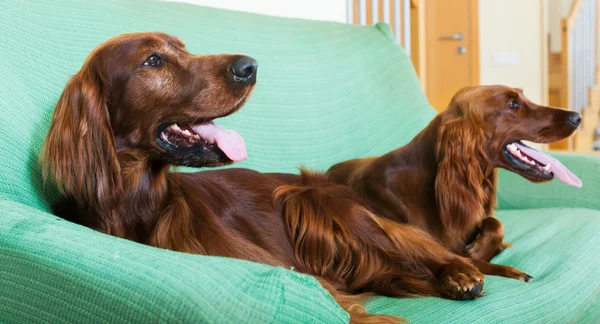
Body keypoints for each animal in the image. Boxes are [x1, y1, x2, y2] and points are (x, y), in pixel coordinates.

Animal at [42, 33, 528, 324]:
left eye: (184, 47)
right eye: (153, 59)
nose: (249, 66)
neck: (141, 206)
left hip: (313, 202)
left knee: (424, 252)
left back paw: (461, 273)